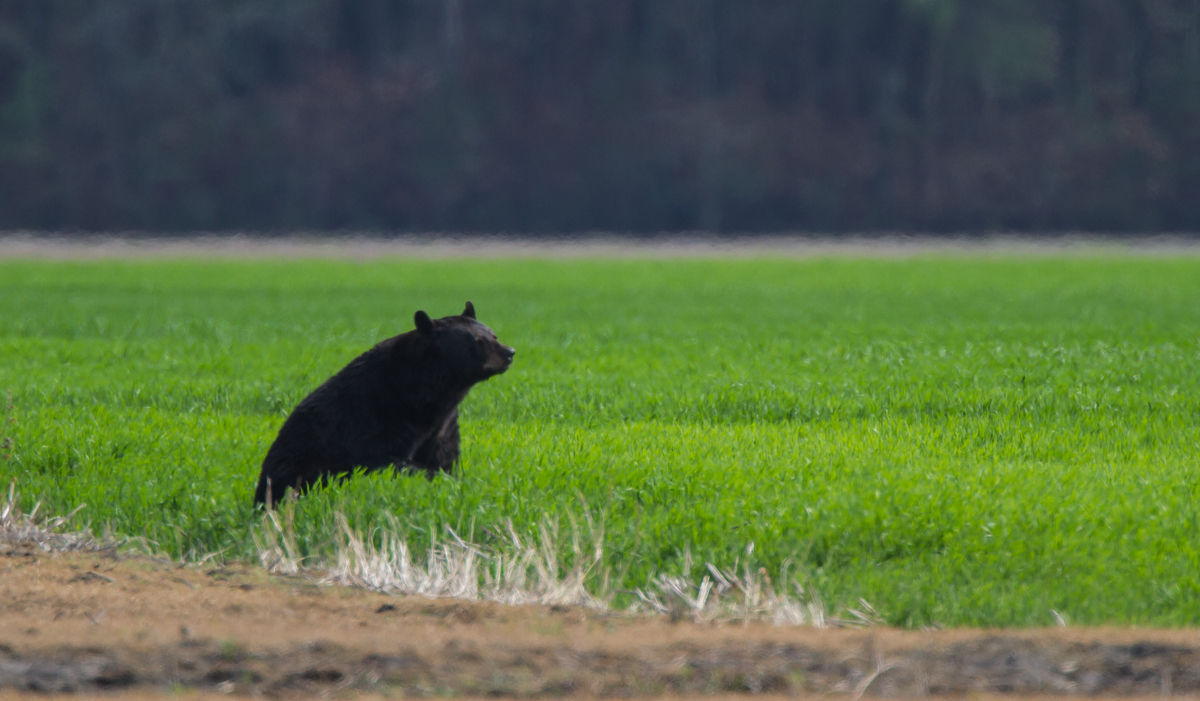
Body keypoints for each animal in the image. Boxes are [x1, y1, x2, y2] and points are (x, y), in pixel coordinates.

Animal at [253, 302, 515, 506]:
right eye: (477, 341)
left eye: (494, 335)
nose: (510, 352)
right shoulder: (377, 413)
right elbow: (384, 459)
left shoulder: (444, 425)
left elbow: (445, 457)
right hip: (299, 465)